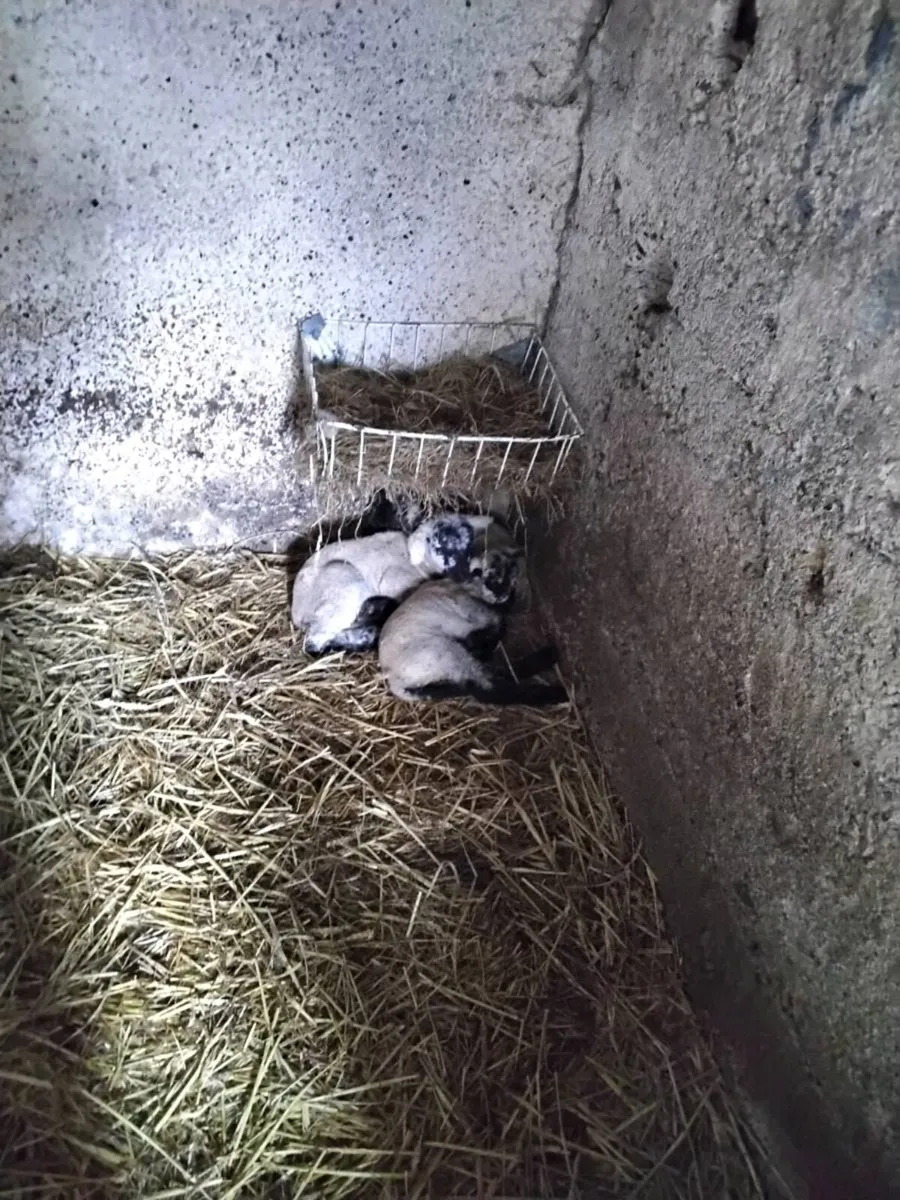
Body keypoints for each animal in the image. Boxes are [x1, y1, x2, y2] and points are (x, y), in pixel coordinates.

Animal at [378, 548, 567, 707]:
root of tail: (393, 678)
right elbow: (495, 631)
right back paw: (554, 687)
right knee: (488, 688)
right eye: (489, 580)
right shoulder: (479, 621)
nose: (500, 594)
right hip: (444, 653)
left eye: (510, 575)